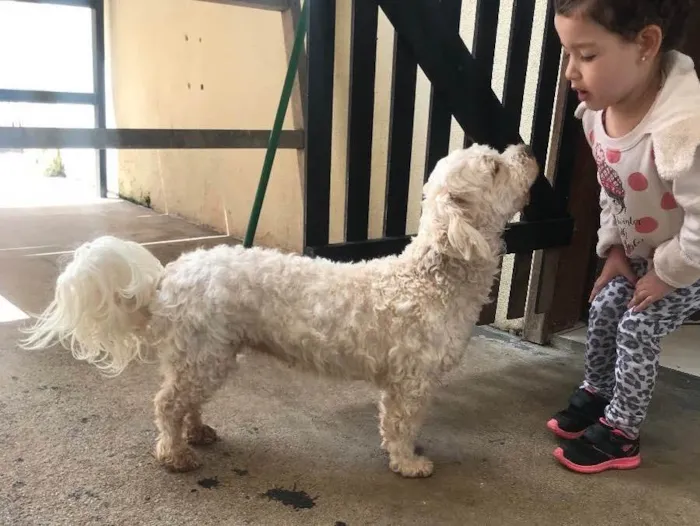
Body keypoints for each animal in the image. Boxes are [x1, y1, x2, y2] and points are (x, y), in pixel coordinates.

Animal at [20, 142, 536, 480]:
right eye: (493, 167)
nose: (526, 147)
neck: (429, 279)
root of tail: (170, 276)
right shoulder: (410, 383)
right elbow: (400, 424)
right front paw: (408, 462)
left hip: (207, 355)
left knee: (185, 401)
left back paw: (196, 432)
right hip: (203, 355)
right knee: (167, 404)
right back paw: (175, 454)